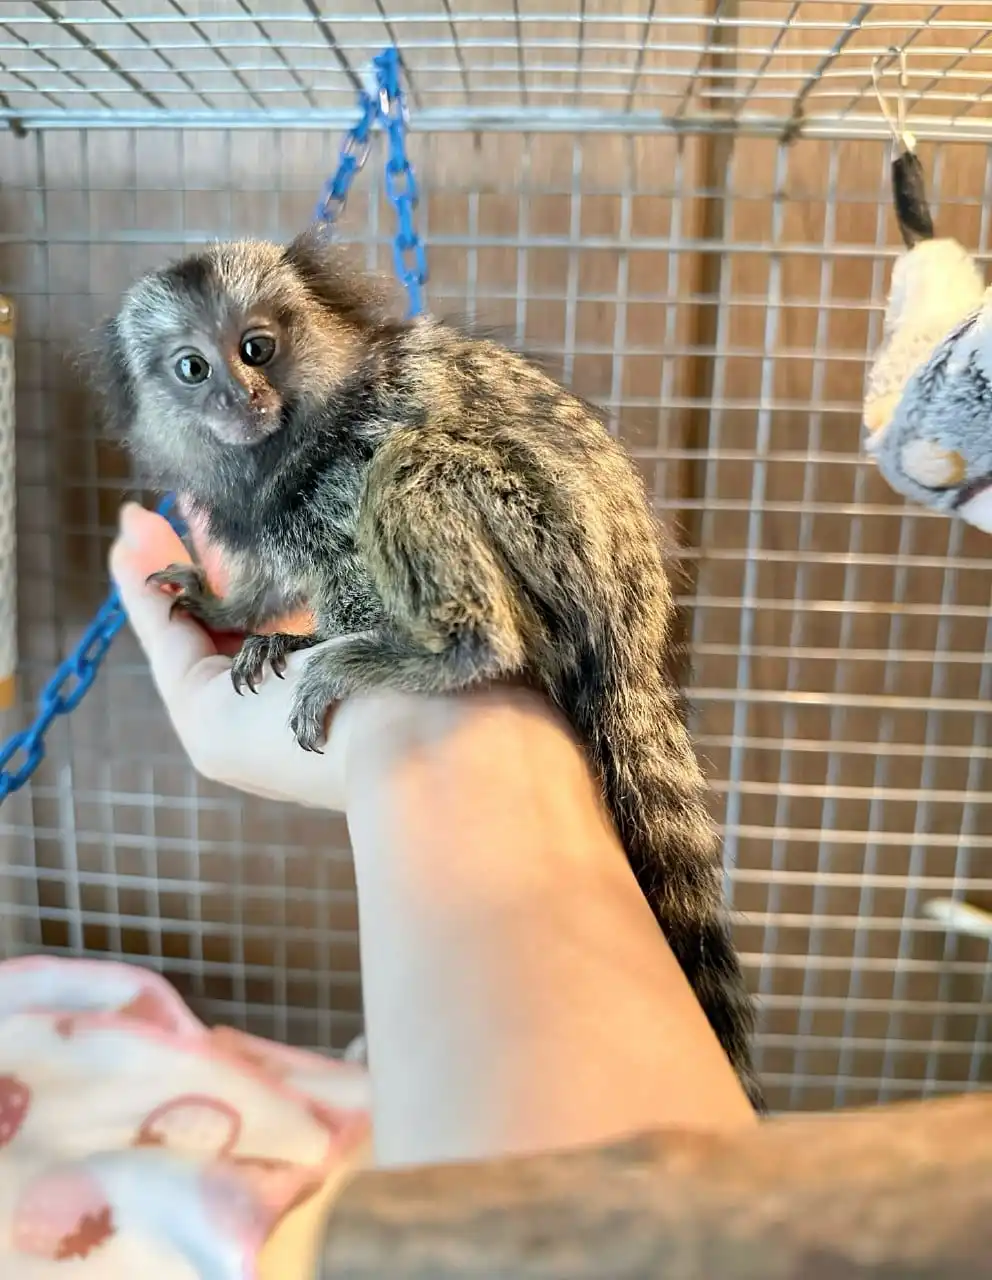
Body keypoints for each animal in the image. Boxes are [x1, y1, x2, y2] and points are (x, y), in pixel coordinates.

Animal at [90, 229, 763, 1111]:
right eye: (193, 368)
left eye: (256, 348)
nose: (240, 397)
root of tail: (634, 631)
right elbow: (268, 583)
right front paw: (231, 609)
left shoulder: (343, 474)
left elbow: (353, 567)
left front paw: (305, 644)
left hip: (542, 535)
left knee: (419, 468)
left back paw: (423, 653)